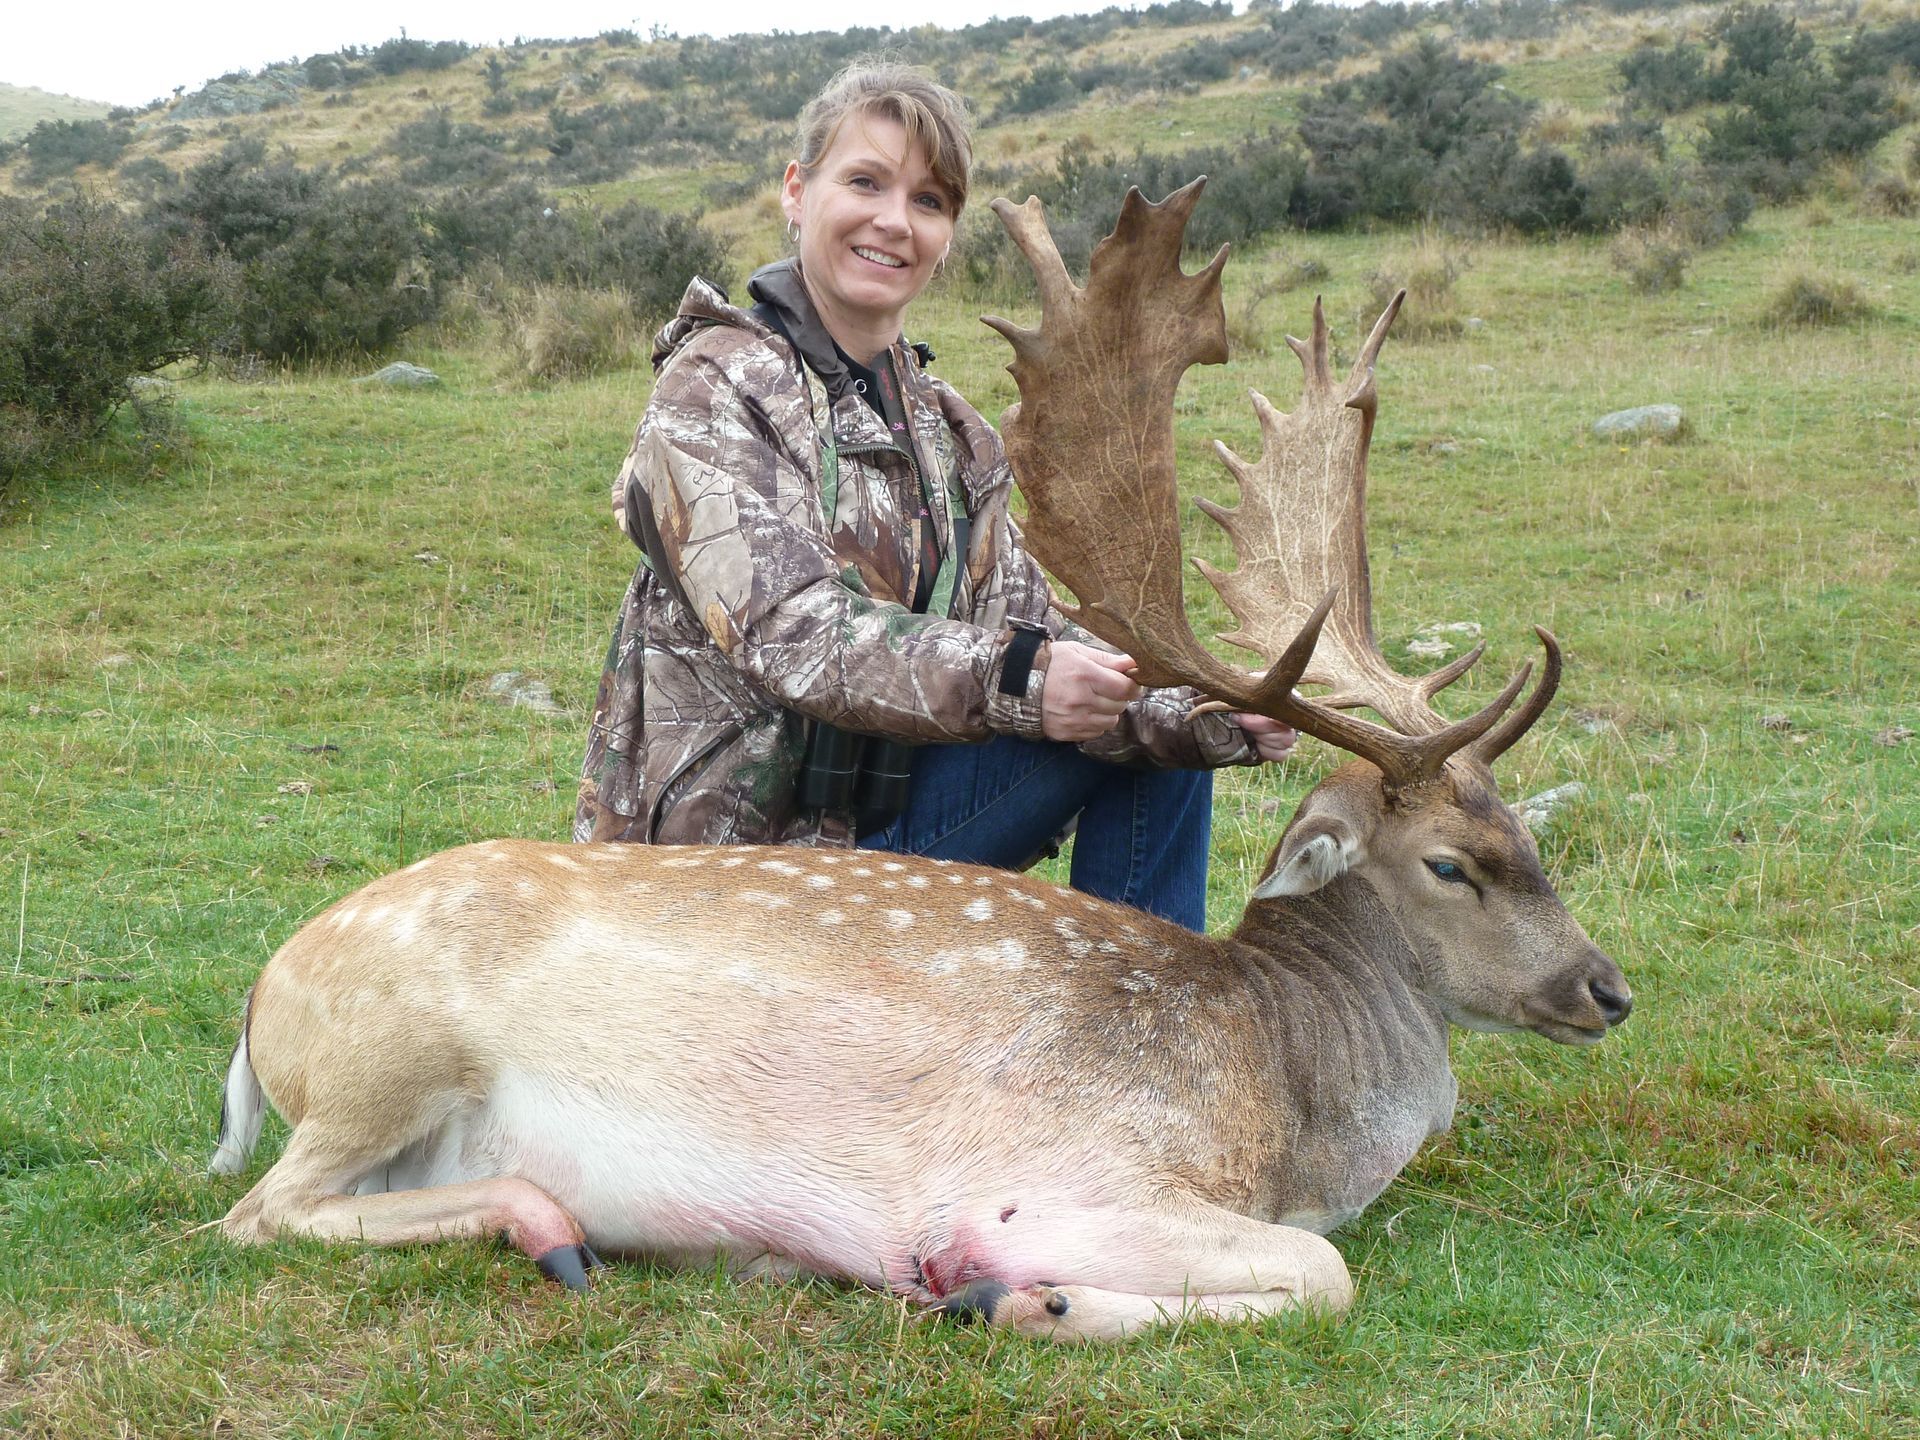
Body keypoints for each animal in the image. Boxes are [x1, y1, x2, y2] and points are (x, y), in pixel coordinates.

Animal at [207, 179, 1631, 1342]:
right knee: (256, 1213)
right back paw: (557, 1227)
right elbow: (1324, 1277)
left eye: (1528, 833)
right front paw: (1020, 1299)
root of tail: (262, 1002)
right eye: (1451, 863)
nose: (1607, 990)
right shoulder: (1059, 1181)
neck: (1288, 1109)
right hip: (387, 1056)